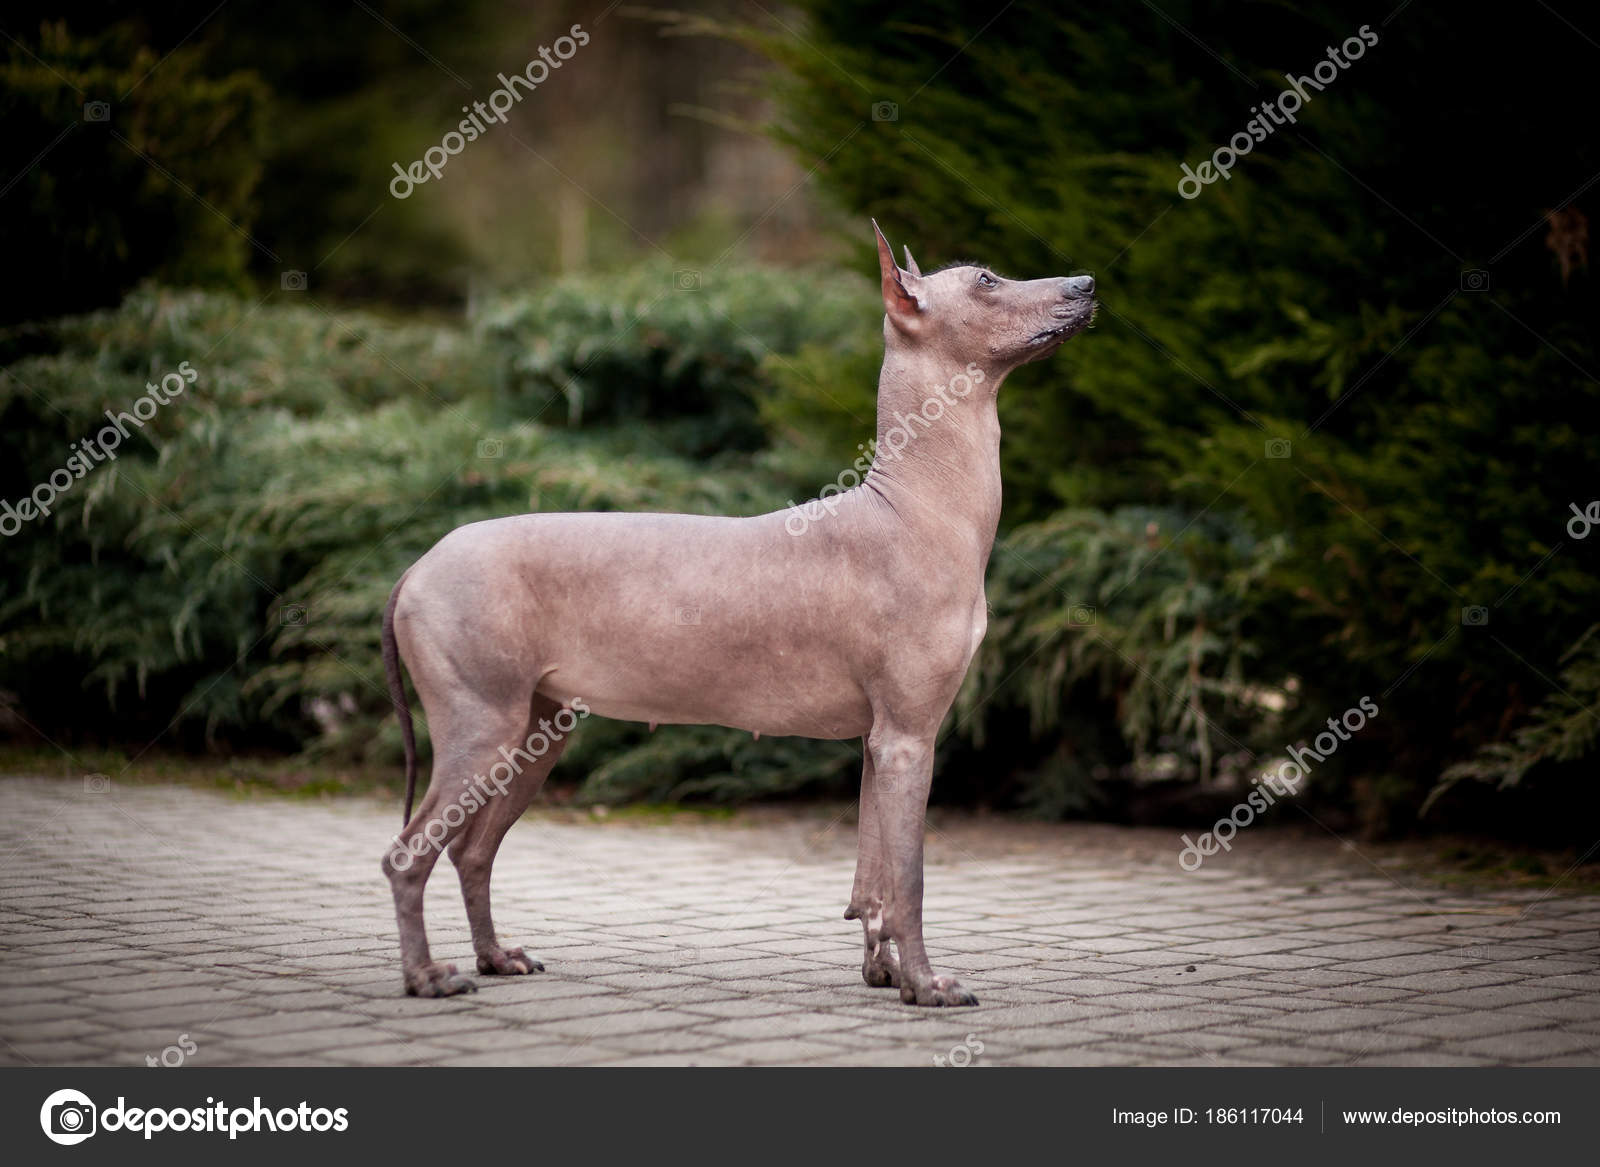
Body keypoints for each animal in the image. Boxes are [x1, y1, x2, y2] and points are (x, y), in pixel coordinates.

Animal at [380, 220, 1094, 998]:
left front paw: (881, 968)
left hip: (534, 734)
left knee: (471, 851)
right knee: (409, 852)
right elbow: (908, 879)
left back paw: (492, 955)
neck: (911, 505)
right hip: (483, 725)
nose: (1087, 284)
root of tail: (417, 564)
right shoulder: (910, 736)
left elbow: (872, 873)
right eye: (987, 281)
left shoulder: (879, 742)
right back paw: (426, 976)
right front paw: (925, 985)